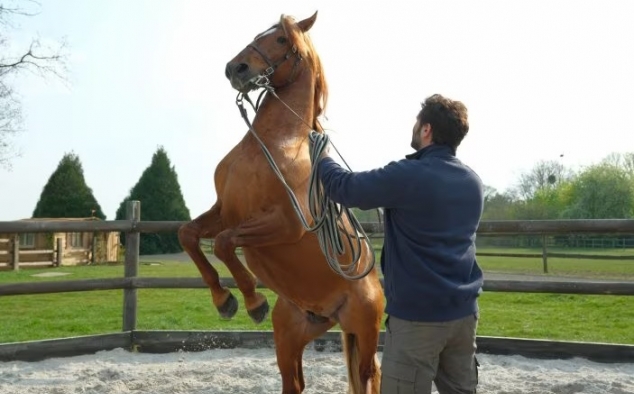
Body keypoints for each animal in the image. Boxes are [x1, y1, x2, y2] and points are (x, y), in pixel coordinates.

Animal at [178, 10, 386, 392]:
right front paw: (224, 300)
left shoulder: (285, 224)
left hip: (365, 328)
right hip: (290, 335)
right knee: (296, 383)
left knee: (370, 374)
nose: (236, 68)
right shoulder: (225, 211)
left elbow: (224, 243)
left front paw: (253, 301)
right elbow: (188, 235)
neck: (277, 145)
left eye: (280, 39)